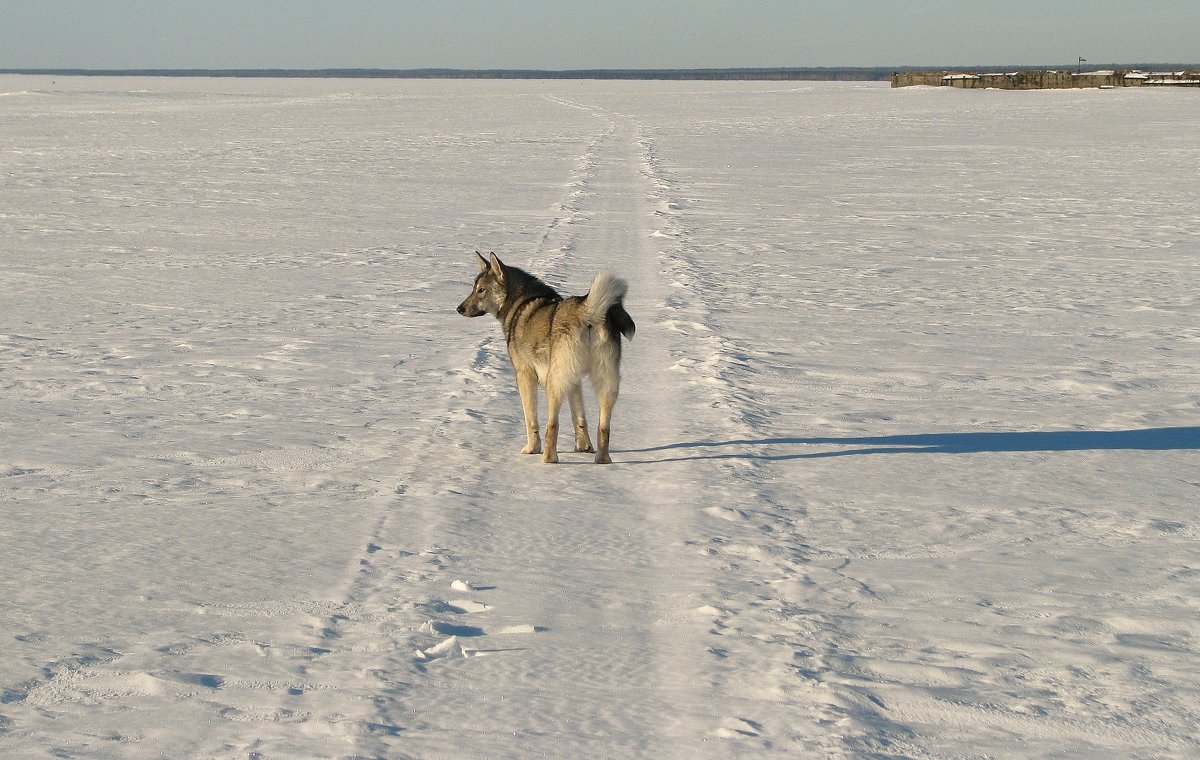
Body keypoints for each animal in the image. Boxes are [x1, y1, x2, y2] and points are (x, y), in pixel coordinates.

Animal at [453, 253, 633, 463]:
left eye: (481, 290)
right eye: (473, 288)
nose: (459, 309)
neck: (519, 302)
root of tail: (586, 311)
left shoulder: (524, 376)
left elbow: (530, 419)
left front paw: (532, 448)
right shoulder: (574, 381)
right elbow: (579, 417)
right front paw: (583, 447)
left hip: (553, 384)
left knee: (552, 424)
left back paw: (548, 458)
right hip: (605, 383)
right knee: (603, 427)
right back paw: (602, 460)